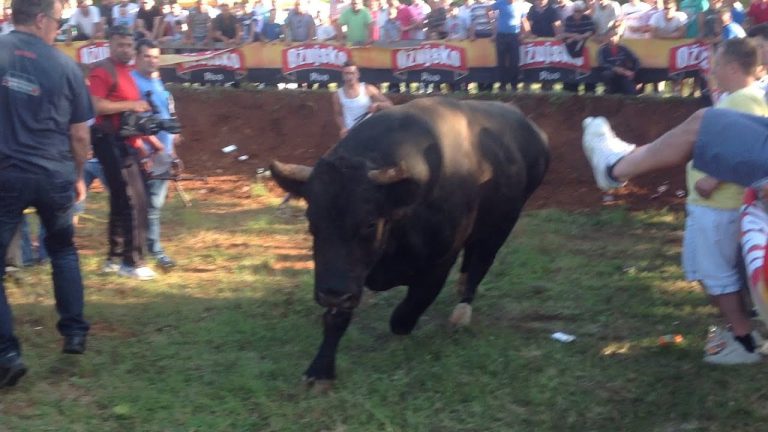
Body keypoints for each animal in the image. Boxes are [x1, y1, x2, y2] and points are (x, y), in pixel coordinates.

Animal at [272, 97, 548, 382]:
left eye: (370, 223)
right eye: (311, 219)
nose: (332, 294)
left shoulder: (439, 263)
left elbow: (406, 312)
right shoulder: (346, 276)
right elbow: (335, 319)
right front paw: (320, 370)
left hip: (500, 226)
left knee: (480, 263)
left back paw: (462, 312)